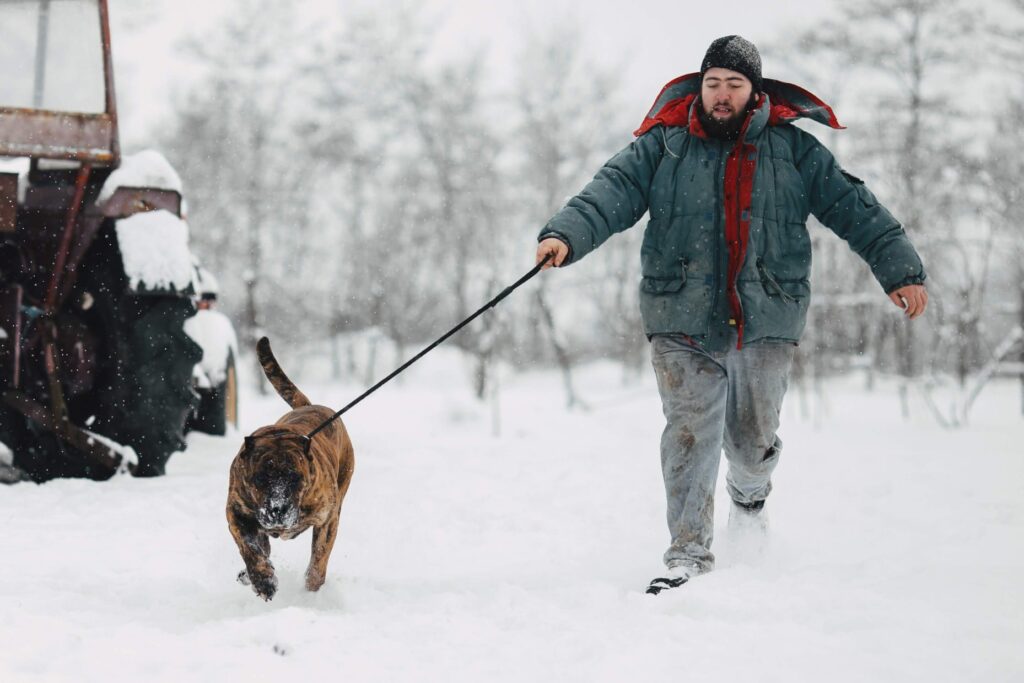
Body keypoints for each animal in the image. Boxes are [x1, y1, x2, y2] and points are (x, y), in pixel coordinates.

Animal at [226, 339, 354, 602]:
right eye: (259, 478)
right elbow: (250, 550)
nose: (277, 510)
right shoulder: (237, 513)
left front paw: (312, 590)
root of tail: (311, 406)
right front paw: (263, 581)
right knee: (262, 547)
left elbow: (319, 558)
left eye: (295, 478)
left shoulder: (328, 520)